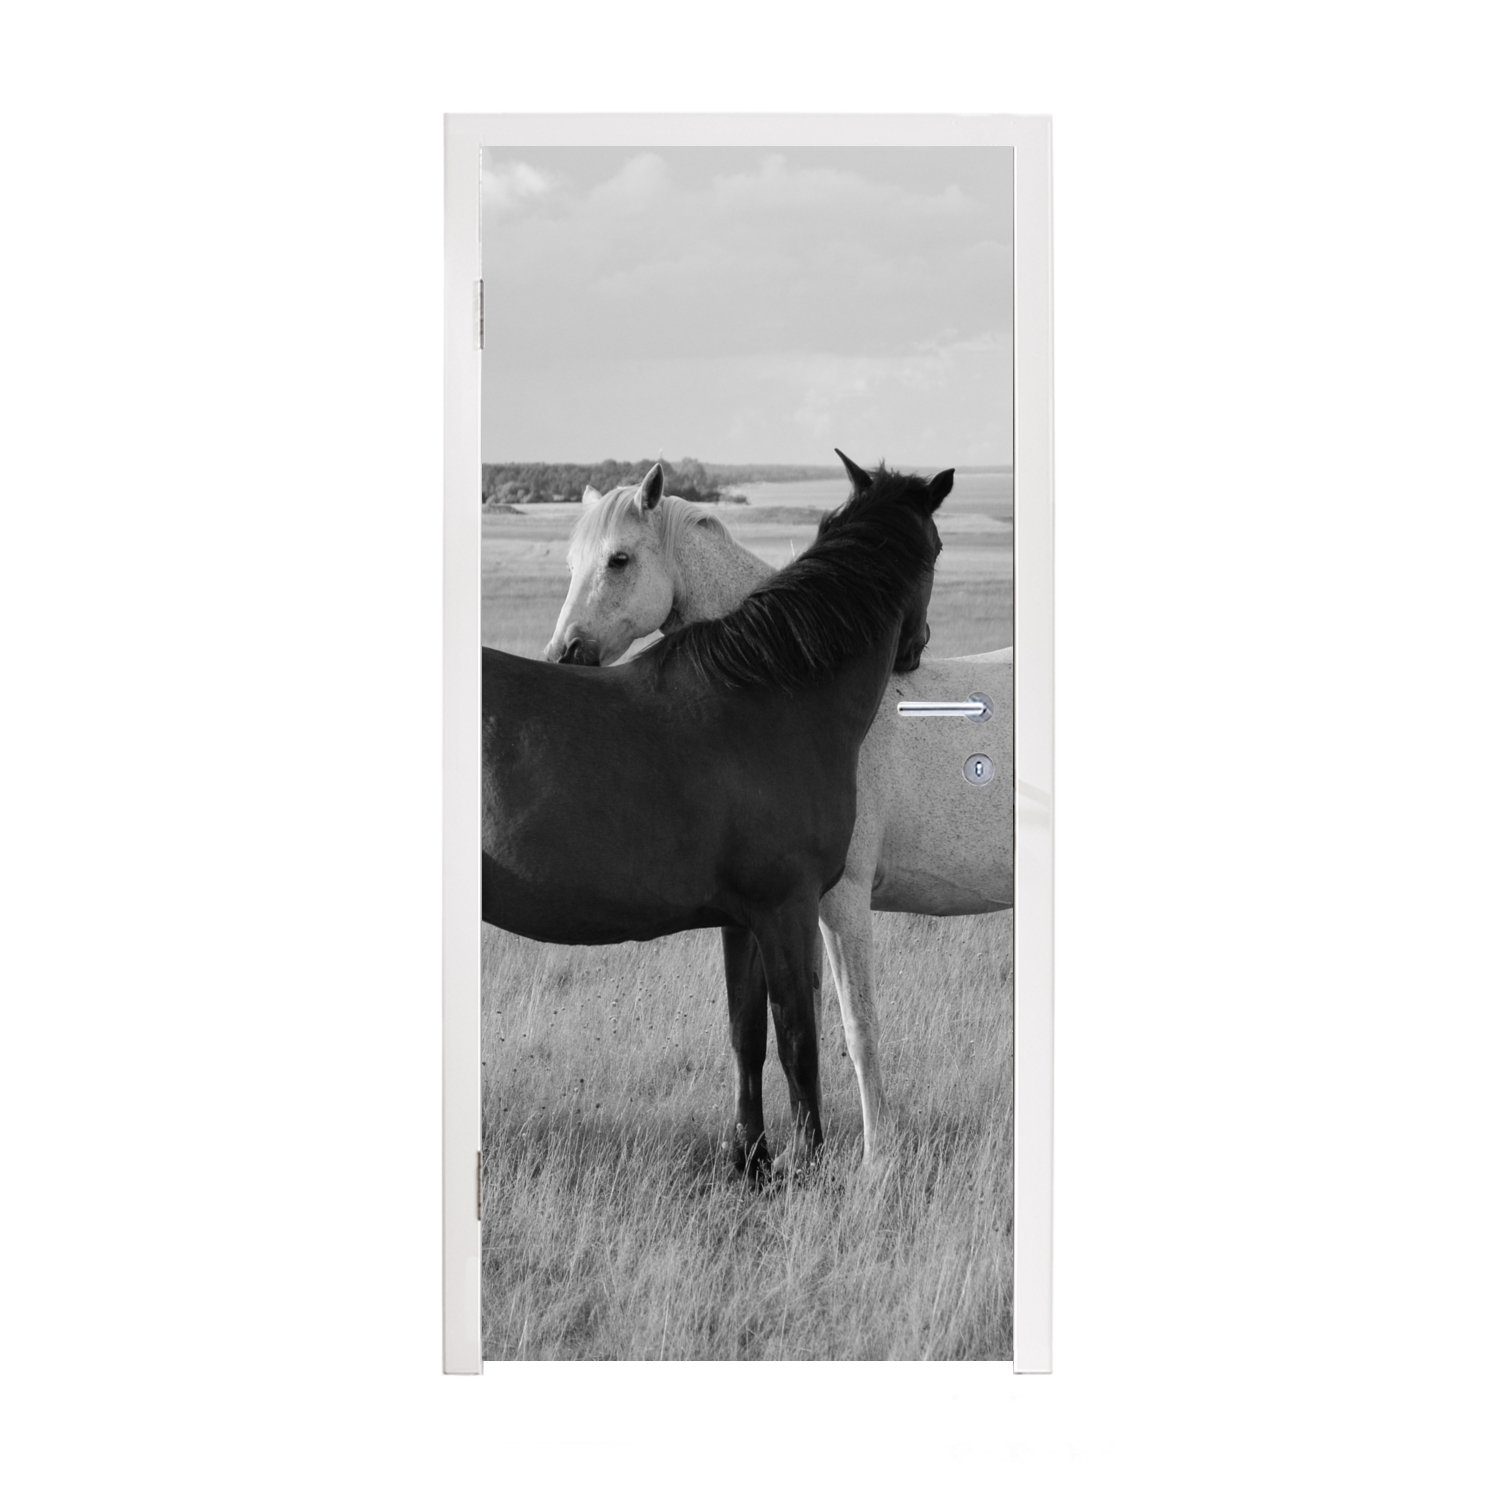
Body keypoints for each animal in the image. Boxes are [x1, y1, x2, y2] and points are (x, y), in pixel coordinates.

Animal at [544, 450, 1012, 1166]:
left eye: (619, 559)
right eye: (570, 563)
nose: (563, 654)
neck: (796, 687)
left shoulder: (838, 901)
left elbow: (855, 1029)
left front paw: (876, 1159)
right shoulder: (786, 908)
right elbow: (783, 1026)